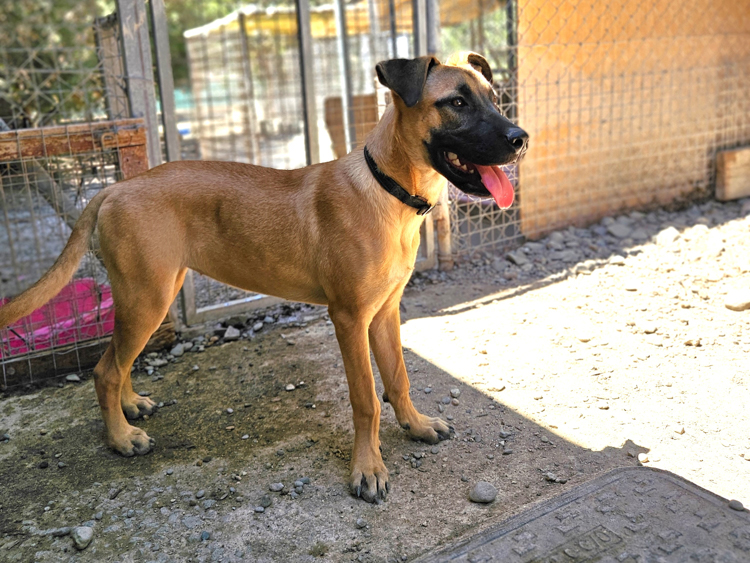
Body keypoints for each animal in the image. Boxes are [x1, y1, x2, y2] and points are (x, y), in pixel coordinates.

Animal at [0, 51, 528, 502]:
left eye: (492, 96)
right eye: (456, 102)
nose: (521, 139)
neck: (388, 190)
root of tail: (113, 189)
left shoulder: (384, 313)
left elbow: (398, 379)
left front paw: (416, 426)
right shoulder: (349, 319)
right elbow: (366, 400)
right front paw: (368, 468)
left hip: (151, 294)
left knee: (119, 360)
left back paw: (130, 406)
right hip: (146, 297)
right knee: (105, 368)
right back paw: (120, 438)